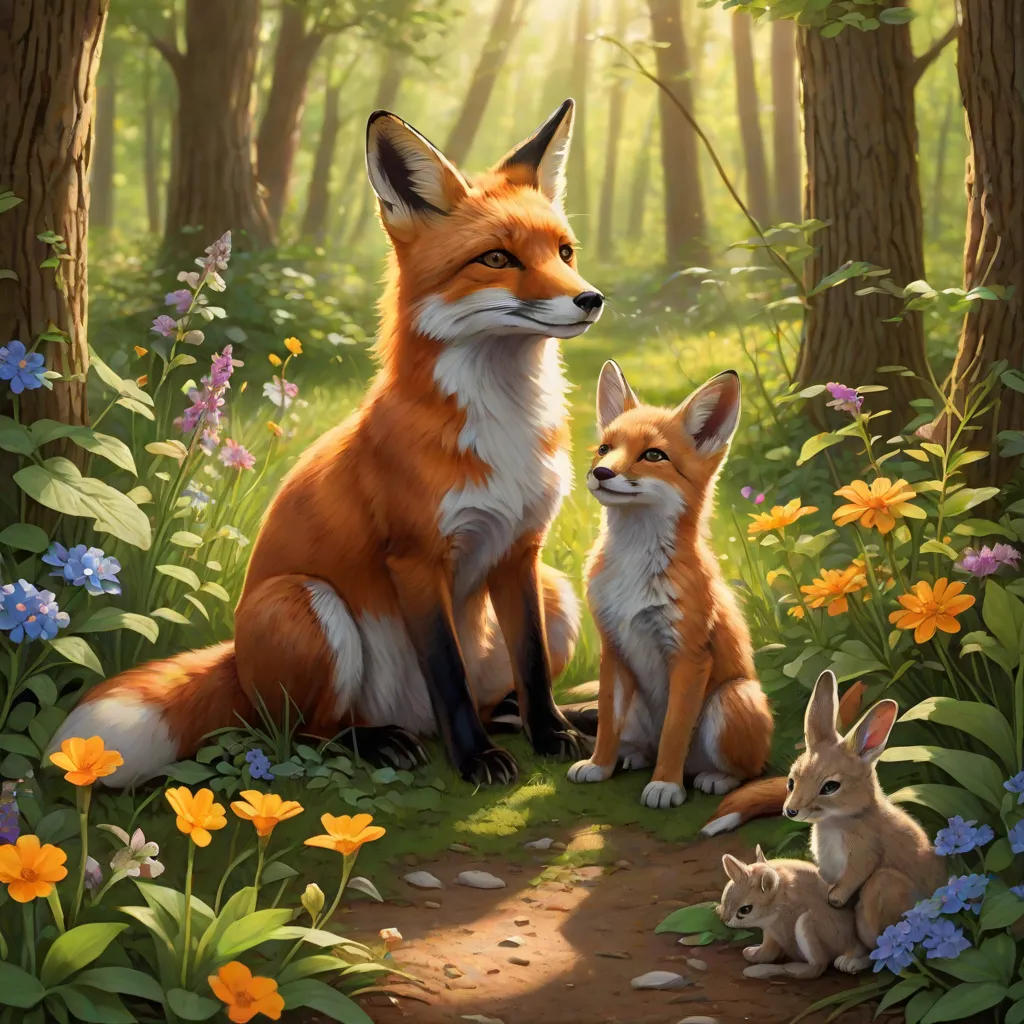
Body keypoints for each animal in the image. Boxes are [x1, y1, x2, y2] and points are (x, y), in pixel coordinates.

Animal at [51, 100, 603, 787]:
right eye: (498, 259)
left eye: (565, 251)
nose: (591, 299)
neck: (504, 427)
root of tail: (237, 663)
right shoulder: (415, 557)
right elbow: (446, 672)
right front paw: (475, 760)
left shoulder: (521, 550)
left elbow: (530, 663)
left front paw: (551, 732)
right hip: (306, 605)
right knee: (302, 732)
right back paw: (380, 742)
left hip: (559, 592)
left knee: (492, 699)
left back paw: (554, 718)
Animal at [566, 361, 775, 810]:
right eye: (605, 448)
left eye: (653, 455)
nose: (600, 473)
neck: (633, 570)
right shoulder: (613, 646)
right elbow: (607, 724)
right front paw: (599, 765)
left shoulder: (690, 654)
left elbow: (675, 732)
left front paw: (665, 785)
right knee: (639, 740)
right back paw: (631, 757)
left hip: (732, 699)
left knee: (750, 771)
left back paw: (712, 778)